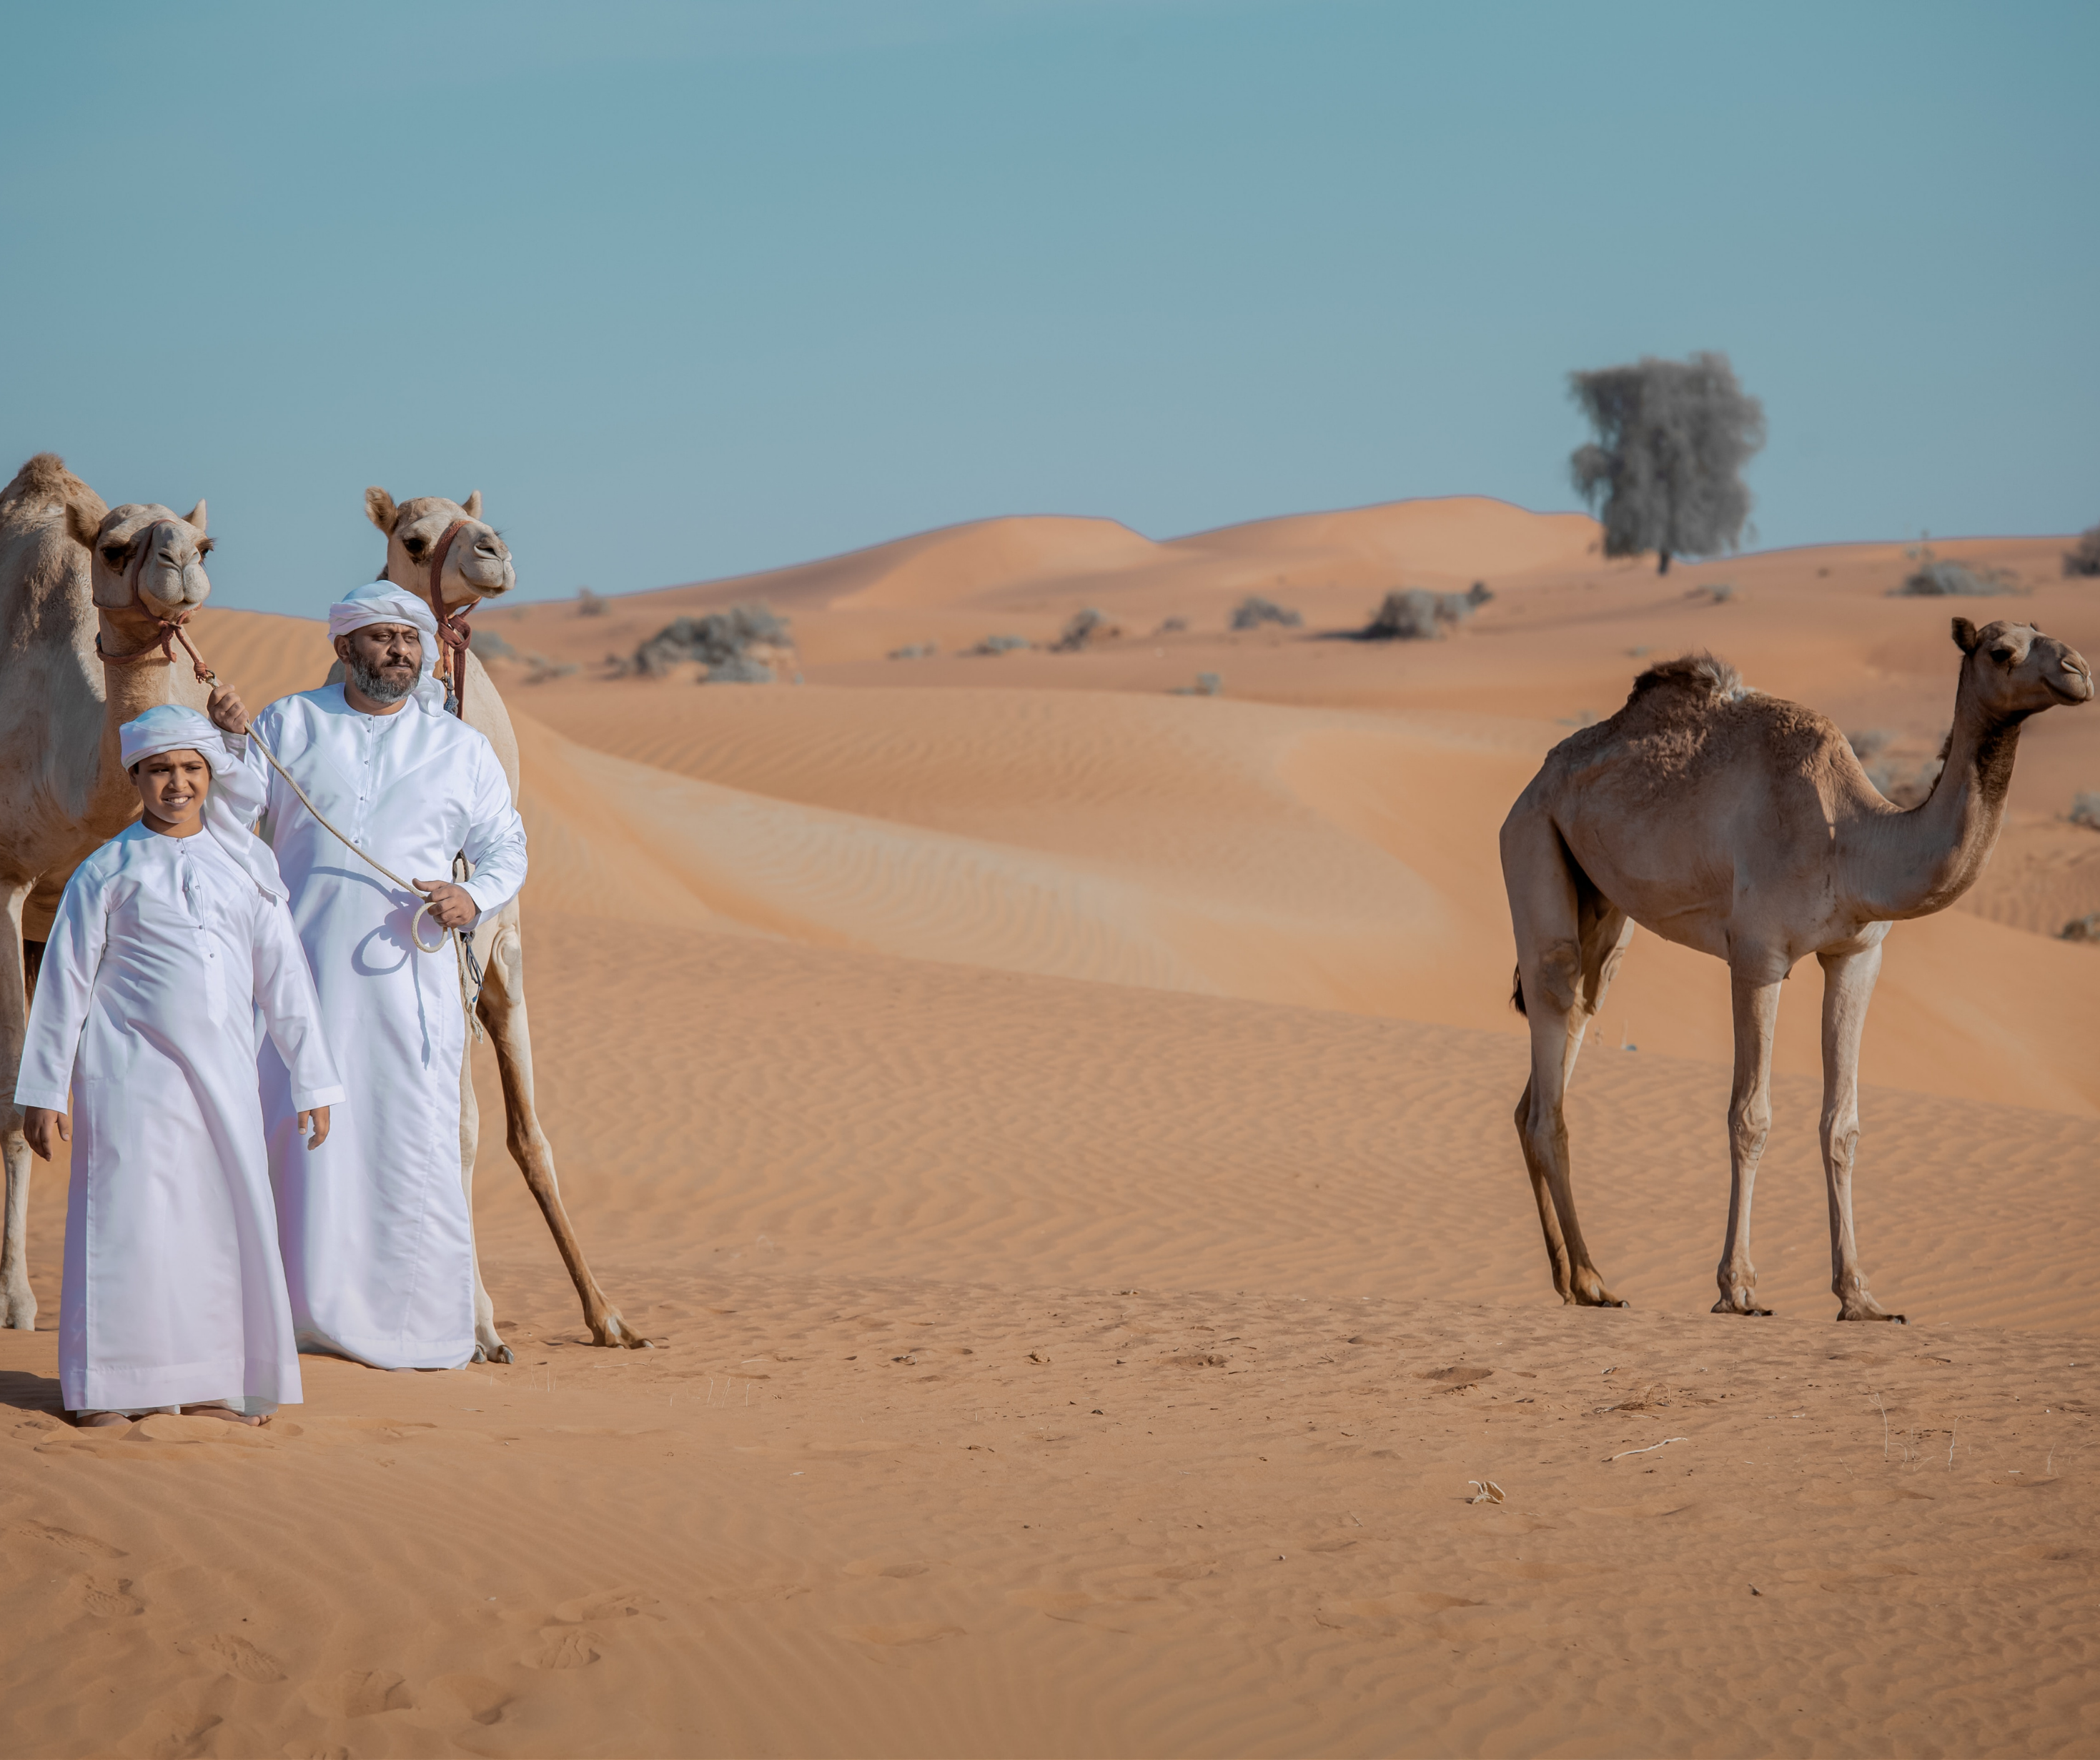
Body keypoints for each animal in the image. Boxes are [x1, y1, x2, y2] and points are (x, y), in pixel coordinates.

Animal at [357, 483, 643, 1361]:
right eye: (413, 540)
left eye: (481, 518)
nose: (493, 551)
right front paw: (474, 1324)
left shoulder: (489, 950)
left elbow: (501, 1133)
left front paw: (580, 1316)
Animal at [1503, 621, 2091, 1327]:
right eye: (2002, 650)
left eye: (2047, 635)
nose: (2078, 670)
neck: (1852, 840)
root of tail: (1533, 783)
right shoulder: (1758, 955)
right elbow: (1750, 1116)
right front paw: (1739, 1289)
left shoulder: (1858, 955)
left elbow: (1842, 1124)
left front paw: (1861, 1296)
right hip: (1531, 838)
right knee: (1553, 1007)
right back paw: (1594, 1280)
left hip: (1603, 906)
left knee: (1569, 1029)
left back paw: (1570, 1279)